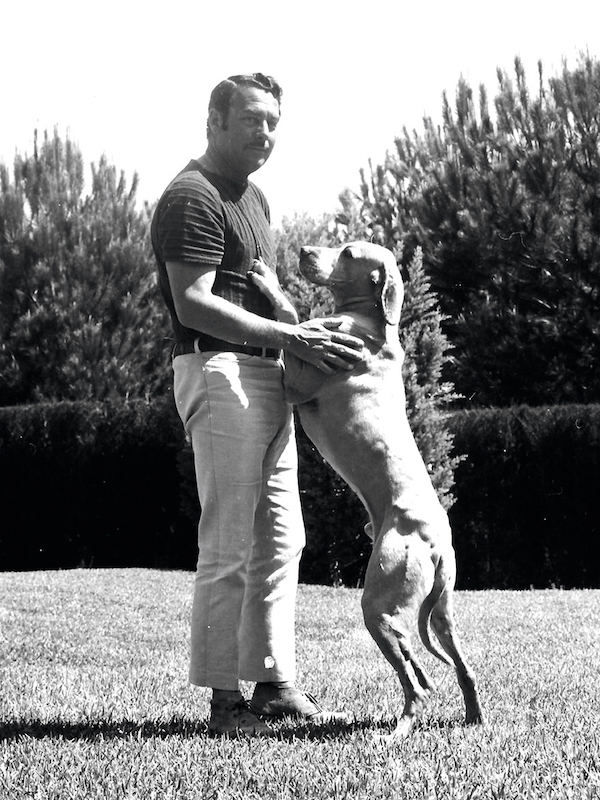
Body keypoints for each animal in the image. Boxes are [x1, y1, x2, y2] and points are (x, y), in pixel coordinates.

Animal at [284, 242, 486, 736]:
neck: (371, 323)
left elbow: (292, 320)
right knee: (458, 665)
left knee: (412, 677)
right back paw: (473, 718)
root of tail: (436, 544)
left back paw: (399, 730)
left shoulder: (296, 380)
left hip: (377, 602)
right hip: (442, 611)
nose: (304, 249)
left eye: (348, 251)